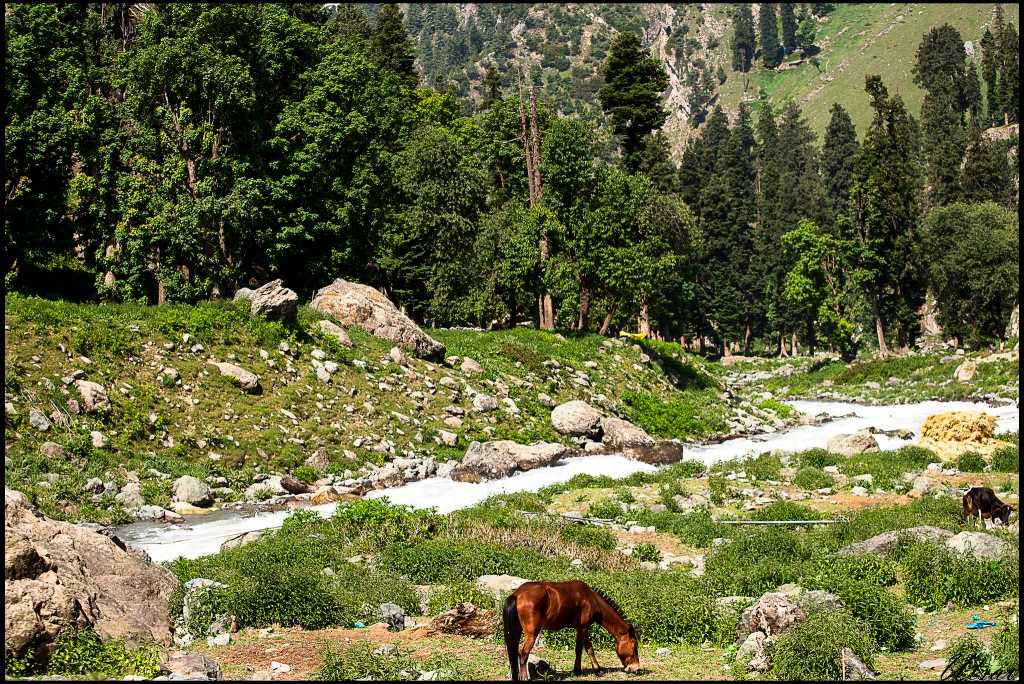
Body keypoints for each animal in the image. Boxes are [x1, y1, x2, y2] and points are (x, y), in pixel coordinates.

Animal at [499, 581, 634, 679]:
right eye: (634, 646)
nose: (635, 668)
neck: (591, 598)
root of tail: (516, 595)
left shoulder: (581, 629)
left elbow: (584, 650)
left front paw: (587, 670)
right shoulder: (583, 628)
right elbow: (584, 649)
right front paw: (588, 670)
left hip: (516, 631)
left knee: (514, 653)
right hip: (532, 634)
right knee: (523, 654)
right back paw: (525, 678)